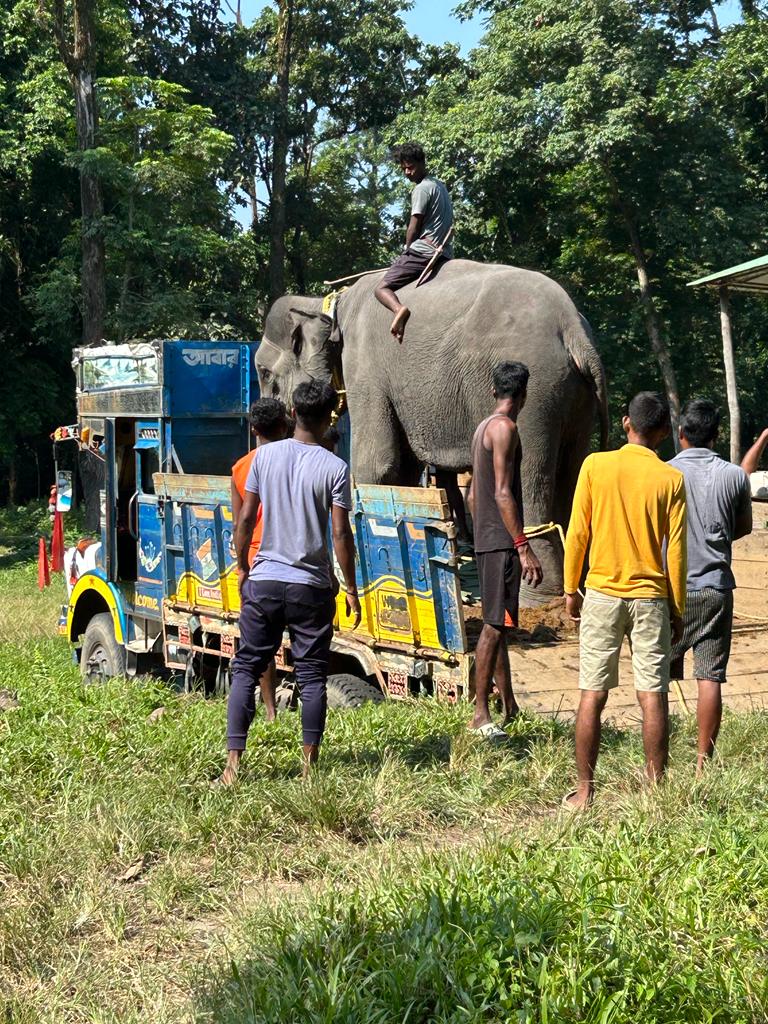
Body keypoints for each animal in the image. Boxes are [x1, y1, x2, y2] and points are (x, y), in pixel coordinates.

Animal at [256, 260, 610, 602]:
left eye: (264, 372)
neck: (327, 303)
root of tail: (573, 328)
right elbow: (402, 470)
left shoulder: (363, 366)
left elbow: (377, 464)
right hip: (573, 398)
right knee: (569, 470)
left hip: (536, 393)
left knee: (530, 475)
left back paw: (535, 597)